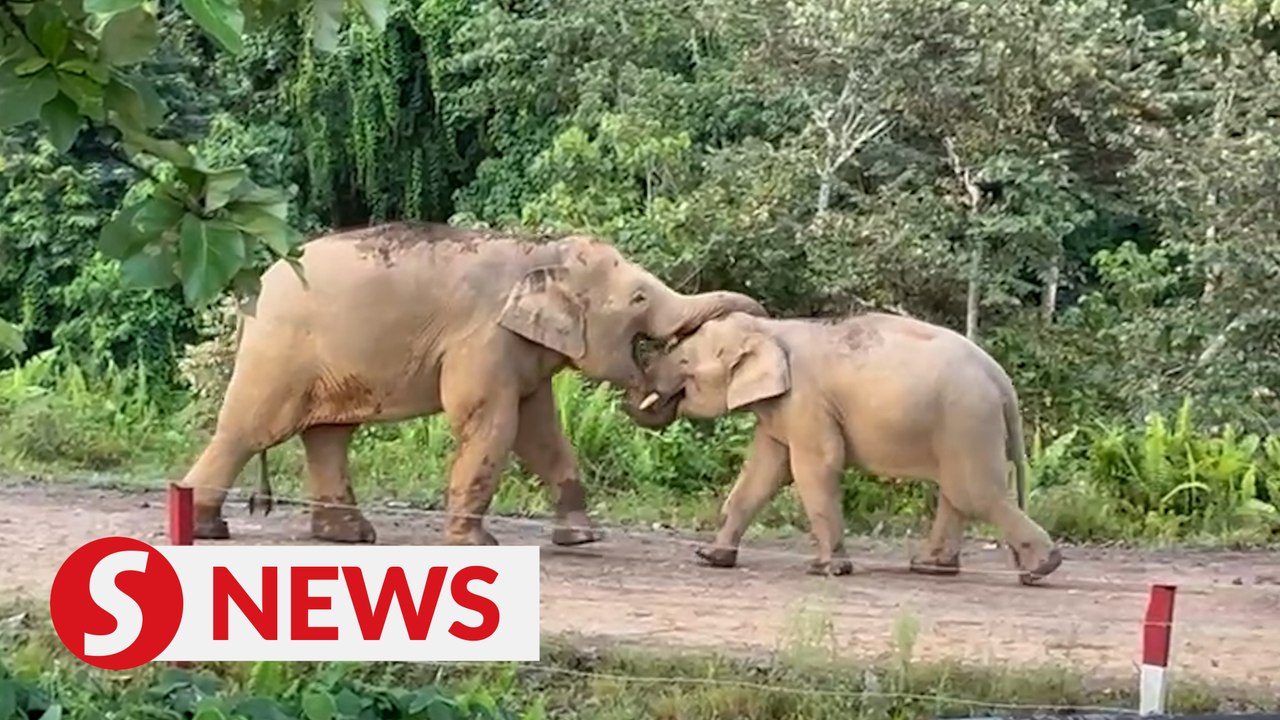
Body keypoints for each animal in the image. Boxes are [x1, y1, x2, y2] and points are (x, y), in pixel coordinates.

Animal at [179, 221, 766, 546]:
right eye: (640, 298)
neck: (540, 251)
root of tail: (251, 290)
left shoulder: (522, 350)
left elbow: (539, 432)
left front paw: (581, 537)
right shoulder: (483, 337)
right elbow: (490, 421)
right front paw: (476, 543)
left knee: (327, 435)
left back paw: (351, 538)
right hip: (279, 351)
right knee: (249, 430)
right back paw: (206, 529)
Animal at [622, 310, 1063, 585]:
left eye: (684, 365)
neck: (769, 327)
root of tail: (1001, 378)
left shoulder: (806, 400)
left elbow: (814, 466)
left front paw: (826, 570)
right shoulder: (782, 408)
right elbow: (764, 471)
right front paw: (711, 558)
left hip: (967, 418)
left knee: (974, 492)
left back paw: (1042, 568)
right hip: (961, 424)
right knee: (958, 492)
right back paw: (931, 567)